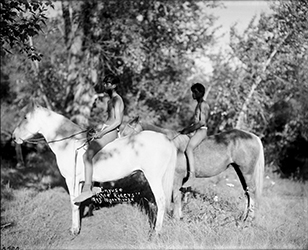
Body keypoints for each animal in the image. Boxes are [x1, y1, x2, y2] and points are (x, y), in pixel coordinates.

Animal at [12, 103, 177, 234]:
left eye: (25, 117)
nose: (14, 136)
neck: (69, 144)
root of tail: (166, 139)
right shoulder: (79, 182)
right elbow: (78, 203)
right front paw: (77, 226)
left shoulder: (71, 180)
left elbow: (73, 203)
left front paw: (74, 230)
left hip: (154, 178)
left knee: (161, 201)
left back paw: (156, 232)